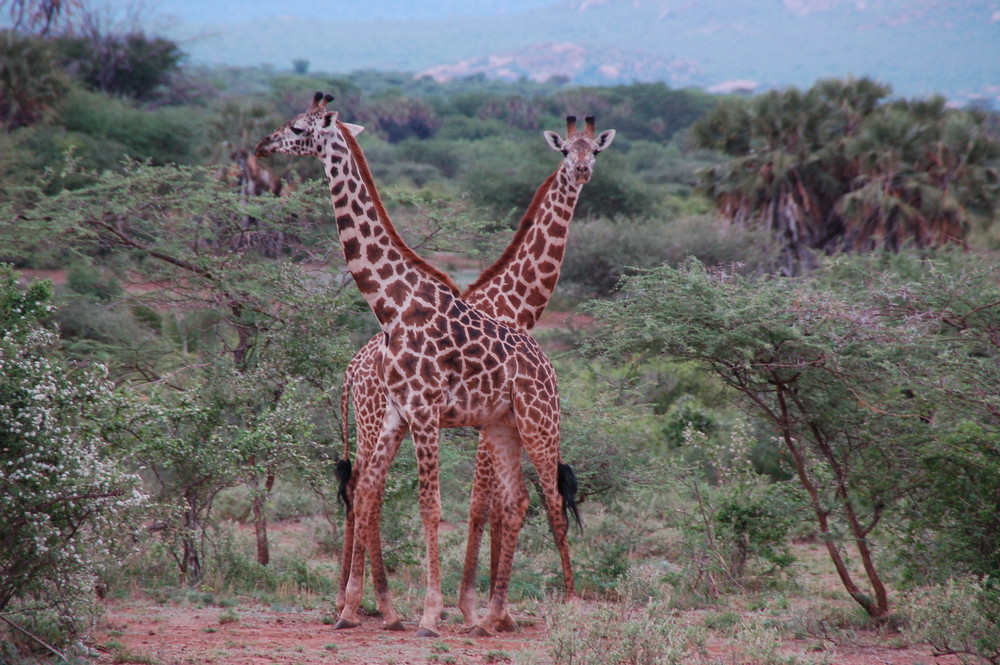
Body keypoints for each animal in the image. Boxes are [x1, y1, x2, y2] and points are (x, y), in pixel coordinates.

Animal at [254, 92, 576, 632]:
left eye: (298, 127)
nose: (262, 144)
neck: (392, 303)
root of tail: (548, 365)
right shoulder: (396, 411)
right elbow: (373, 494)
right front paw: (358, 608)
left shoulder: (426, 410)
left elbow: (431, 506)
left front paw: (429, 613)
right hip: (503, 425)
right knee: (517, 499)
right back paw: (491, 618)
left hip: (539, 420)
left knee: (552, 496)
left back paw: (572, 606)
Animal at [340, 115, 612, 632]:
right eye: (565, 151)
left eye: (596, 151)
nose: (583, 172)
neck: (515, 299)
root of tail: (351, 370)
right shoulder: (492, 416)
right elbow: (486, 503)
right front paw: (475, 606)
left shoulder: (492, 416)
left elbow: (492, 501)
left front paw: (482, 606)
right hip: (377, 418)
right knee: (366, 489)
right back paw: (360, 604)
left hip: (378, 424)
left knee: (362, 488)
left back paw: (351, 601)